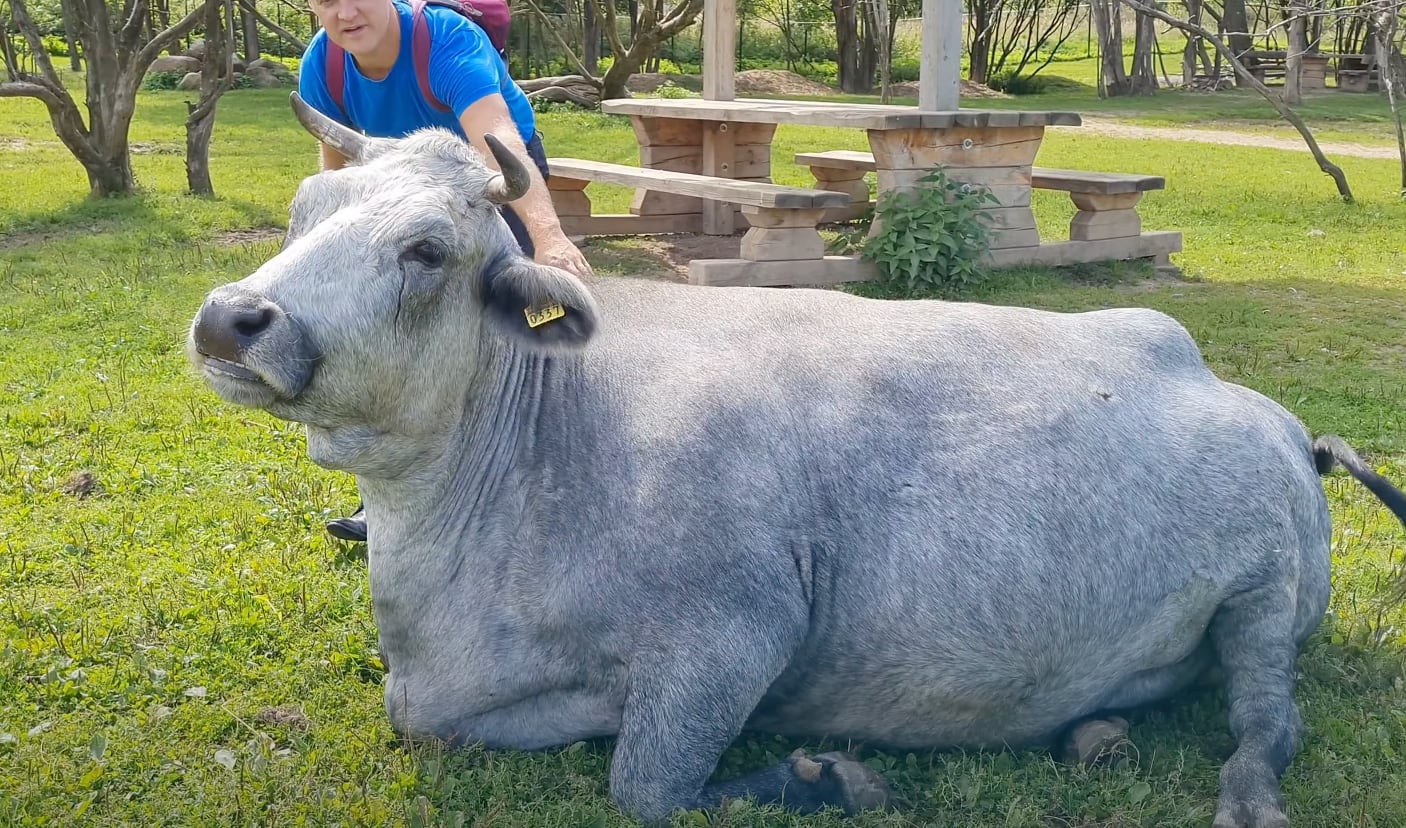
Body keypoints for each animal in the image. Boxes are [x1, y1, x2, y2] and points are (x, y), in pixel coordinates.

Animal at [186, 92, 1406, 828]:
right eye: (304, 207)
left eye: (427, 250)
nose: (232, 320)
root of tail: (1255, 406)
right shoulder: (454, 698)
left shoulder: (739, 629)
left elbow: (646, 786)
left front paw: (826, 776)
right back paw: (1097, 732)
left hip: (1262, 598)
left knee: (1267, 723)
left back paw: (1242, 788)